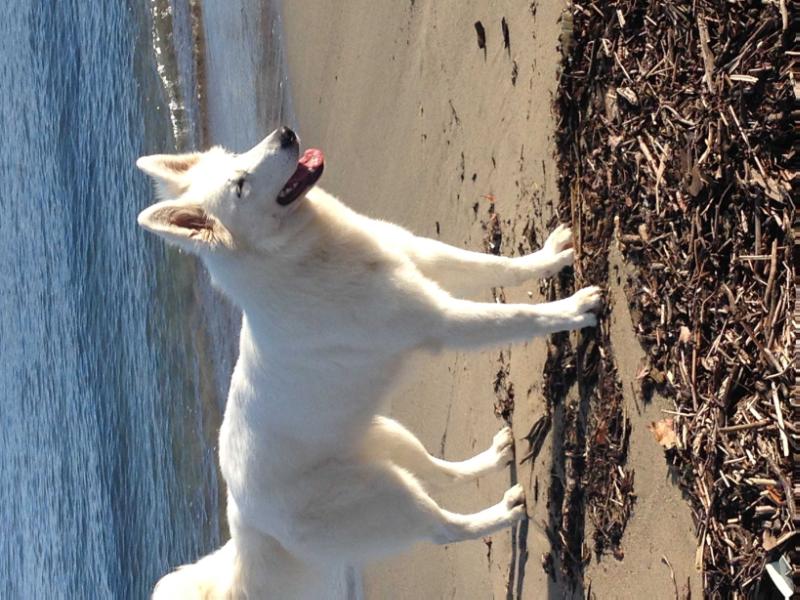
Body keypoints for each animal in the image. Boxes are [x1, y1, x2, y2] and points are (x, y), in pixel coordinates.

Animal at [138, 125, 600, 596]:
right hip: (387, 497)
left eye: (239, 156)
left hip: (387, 436)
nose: (285, 134)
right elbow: (521, 316)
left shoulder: (425, 259)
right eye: (241, 186)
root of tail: (245, 524)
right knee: (443, 529)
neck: (301, 256)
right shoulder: (440, 320)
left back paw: (494, 458)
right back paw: (504, 513)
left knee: (440, 473)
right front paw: (573, 309)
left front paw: (551, 256)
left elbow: (500, 266)